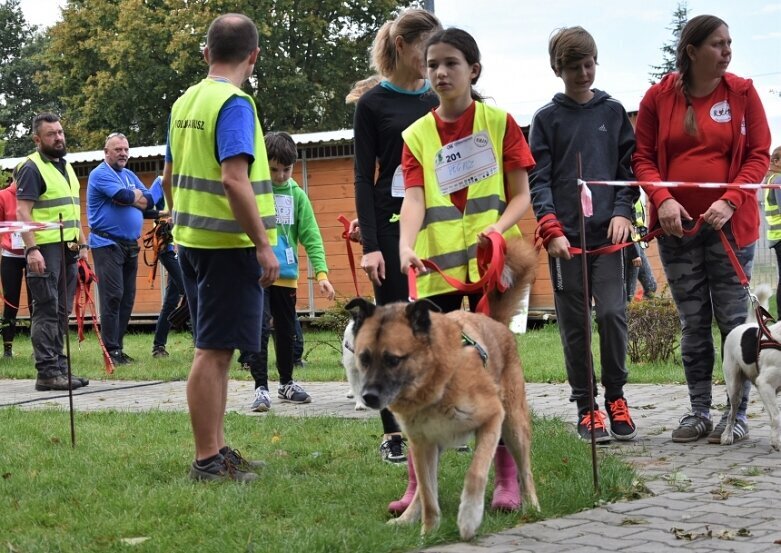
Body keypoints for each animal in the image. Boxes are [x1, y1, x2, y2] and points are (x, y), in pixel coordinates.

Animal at [344, 236, 540, 540]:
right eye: (364, 358)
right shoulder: (422, 443)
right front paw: (428, 531)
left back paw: (531, 505)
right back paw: (407, 517)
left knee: (524, 470)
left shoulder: (492, 419)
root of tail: (495, 324)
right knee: (422, 490)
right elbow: (427, 494)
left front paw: (469, 517)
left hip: (514, 427)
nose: (368, 398)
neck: (435, 385)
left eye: (393, 360)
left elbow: (475, 473)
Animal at [720, 284, 780, 448]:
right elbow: (777, 417)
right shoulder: (765, 383)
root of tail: (748, 324)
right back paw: (727, 435)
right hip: (734, 386)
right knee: (731, 413)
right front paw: (776, 442)